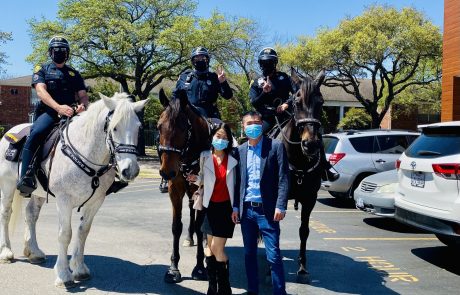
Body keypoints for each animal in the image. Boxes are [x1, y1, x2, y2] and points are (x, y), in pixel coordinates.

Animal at [0, 93, 147, 290]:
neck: (87, 153)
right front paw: (63, 275)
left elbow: (83, 231)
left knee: (30, 214)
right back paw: (6, 252)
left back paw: (34, 252)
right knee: (6, 214)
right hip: (7, 185)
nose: (130, 170)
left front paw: (79, 269)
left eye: (138, 127)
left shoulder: (96, 201)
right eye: (114, 128)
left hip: (39, 193)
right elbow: (65, 234)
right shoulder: (64, 201)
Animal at [156, 88, 210, 284]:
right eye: (159, 126)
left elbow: (201, 227)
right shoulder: (176, 190)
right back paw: (189, 237)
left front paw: (200, 267)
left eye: (182, 128)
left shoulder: (202, 191)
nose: (166, 172)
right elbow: (176, 227)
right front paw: (173, 268)